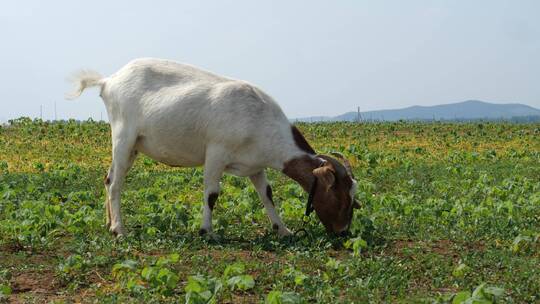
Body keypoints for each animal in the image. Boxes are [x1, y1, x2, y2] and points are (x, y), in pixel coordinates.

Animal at [67, 57, 358, 238]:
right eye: (343, 197)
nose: (342, 232)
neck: (260, 118)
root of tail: (108, 81)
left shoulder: (255, 165)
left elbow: (267, 194)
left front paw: (283, 230)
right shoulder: (216, 152)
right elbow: (211, 194)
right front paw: (207, 231)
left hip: (133, 146)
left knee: (108, 178)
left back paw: (109, 223)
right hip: (123, 136)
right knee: (116, 183)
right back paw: (119, 230)